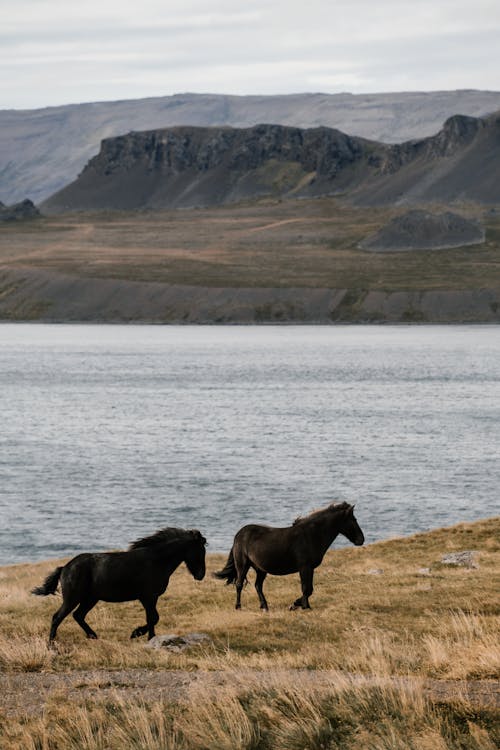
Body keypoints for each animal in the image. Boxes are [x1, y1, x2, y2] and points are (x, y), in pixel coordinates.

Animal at [32, 528, 205, 648]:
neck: (156, 560)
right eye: (200, 550)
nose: (201, 575)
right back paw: (51, 645)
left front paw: (142, 635)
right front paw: (140, 635)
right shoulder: (148, 597)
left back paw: (93, 635)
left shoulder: (150, 598)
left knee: (78, 615)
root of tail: (65, 568)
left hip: (90, 599)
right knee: (57, 617)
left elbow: (152, 618)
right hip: (72, 599)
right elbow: (153, 618)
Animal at [213, 502, 362, 612]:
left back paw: (264, 607)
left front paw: (299, 605)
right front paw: (300, 606)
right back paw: (238, 607)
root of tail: (238, 535)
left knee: (258, 586)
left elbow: (309, 589)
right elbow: (306, 588)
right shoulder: (304, 567)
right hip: (243, 565)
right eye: (353, 520)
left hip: (260, 569)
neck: (311, 535)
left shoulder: (310, 568)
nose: (361, 539)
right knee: (239, 584)